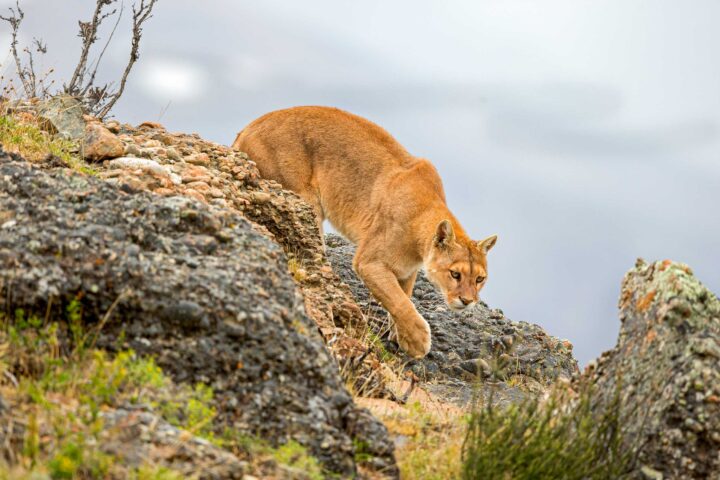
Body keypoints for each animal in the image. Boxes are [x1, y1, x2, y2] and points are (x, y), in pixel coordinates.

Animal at [233, 108, 498, 356]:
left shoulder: (406, 270)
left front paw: (400, 334)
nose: (467, 301)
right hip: (304, 201)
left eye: (480, 279)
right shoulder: (369, 261)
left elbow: (403, 296)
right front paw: (417, 341)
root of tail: (247, 128)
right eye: (455, 274)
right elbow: (399, 301)